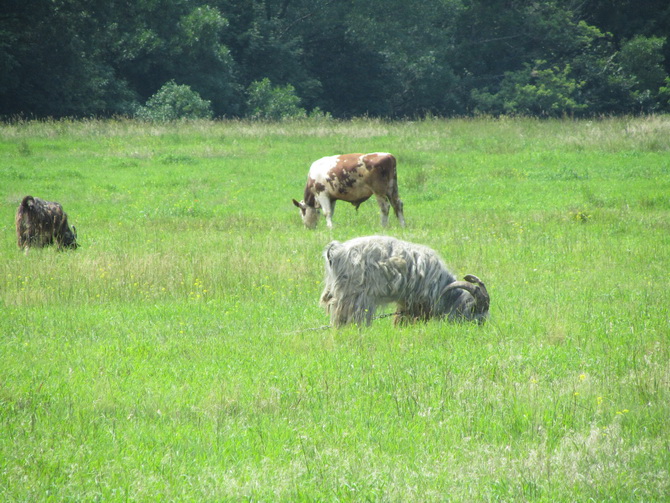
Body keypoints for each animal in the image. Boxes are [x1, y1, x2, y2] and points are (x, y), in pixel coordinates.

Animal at [320, 236, 488, 326]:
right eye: (474, 310)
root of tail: (336, 251)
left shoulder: (405, 301)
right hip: (355, 297)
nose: (480, 327)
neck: (442, 287)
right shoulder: (417, 301)